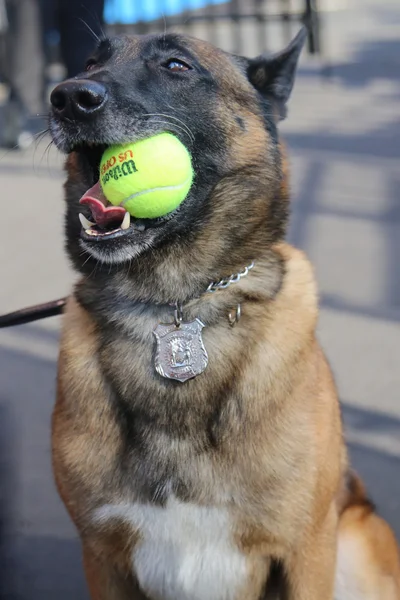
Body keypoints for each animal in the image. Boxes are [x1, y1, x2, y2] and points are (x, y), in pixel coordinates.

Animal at [50, 27, 400, 596]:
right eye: (90, 61)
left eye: (177, 65)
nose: (67, 97)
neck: (173, 303)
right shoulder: (101, 558)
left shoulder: (307, 551)